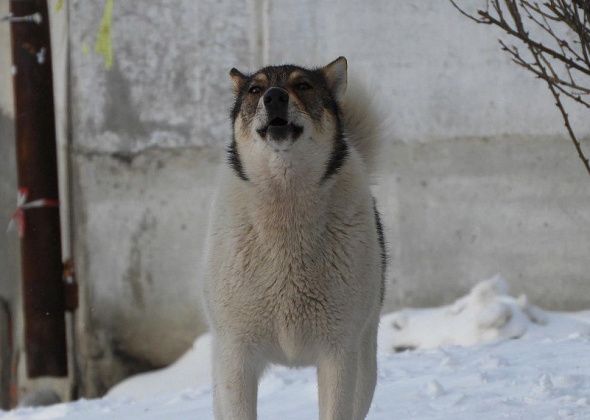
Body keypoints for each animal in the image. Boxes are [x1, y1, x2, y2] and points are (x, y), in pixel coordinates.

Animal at [204, 56, 388, 420]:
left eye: (302, 85)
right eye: (255, 89)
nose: (274, 96)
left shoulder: (338, 353)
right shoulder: (235, 357)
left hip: (365, 365)